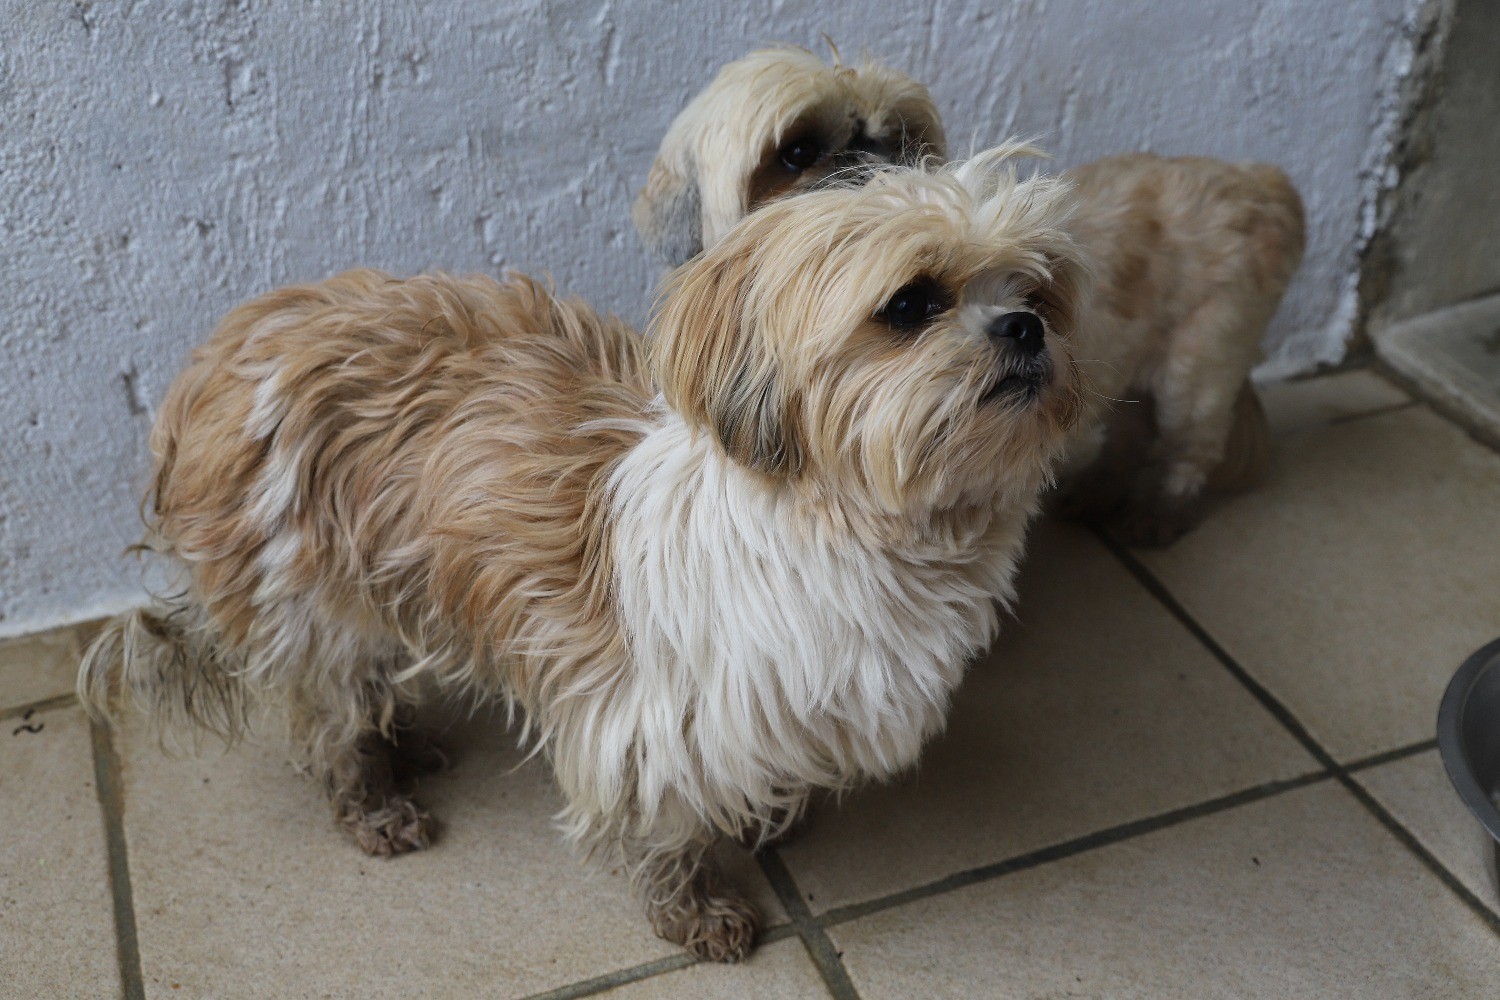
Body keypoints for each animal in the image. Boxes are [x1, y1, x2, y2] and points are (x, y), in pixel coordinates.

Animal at [79, 148, 1092, 959]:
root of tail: (220, 359)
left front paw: (773, 816)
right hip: (310, 595)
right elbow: (664, 830)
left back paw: (411, 742)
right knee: (329, 719)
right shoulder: (647, 717)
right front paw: (695, 909)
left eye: (1037, 292)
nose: (1024, 328)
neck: (855, 525)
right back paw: (372, 798)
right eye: (912, 302)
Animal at [633, 43, 1302, 548]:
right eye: (796, 151)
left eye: (906, 140)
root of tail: (1257, 181)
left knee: (1188, 446)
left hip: (1197, 368)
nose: (873, 164)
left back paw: (1157, 510)